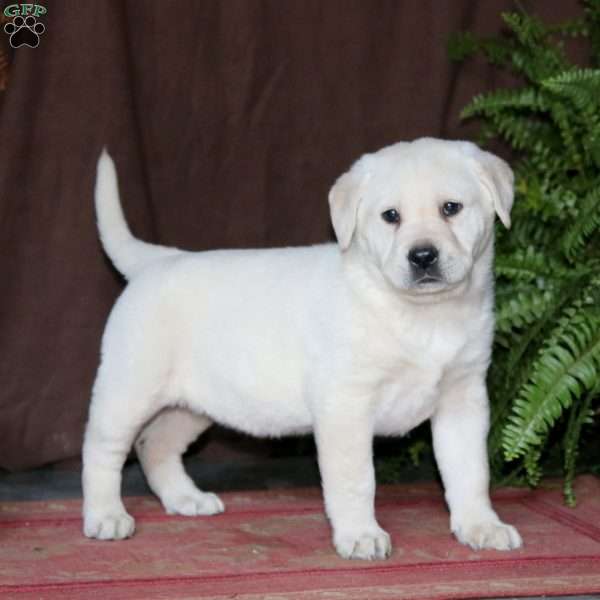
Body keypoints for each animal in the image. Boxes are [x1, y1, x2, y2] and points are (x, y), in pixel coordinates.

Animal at [82, 138, 524, 560]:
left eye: (451, 208)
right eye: (390, 216)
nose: (423, 256)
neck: (421, 315)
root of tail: (154, 262)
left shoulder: (463, 398)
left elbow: (469, 471)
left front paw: (481, 526)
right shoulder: (345, 404)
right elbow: (356, 479)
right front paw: (360, 535)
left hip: (193, 405)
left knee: (154, 445)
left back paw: (186, 499)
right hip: (129, 388)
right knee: (103, 449)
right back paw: (106, 516)